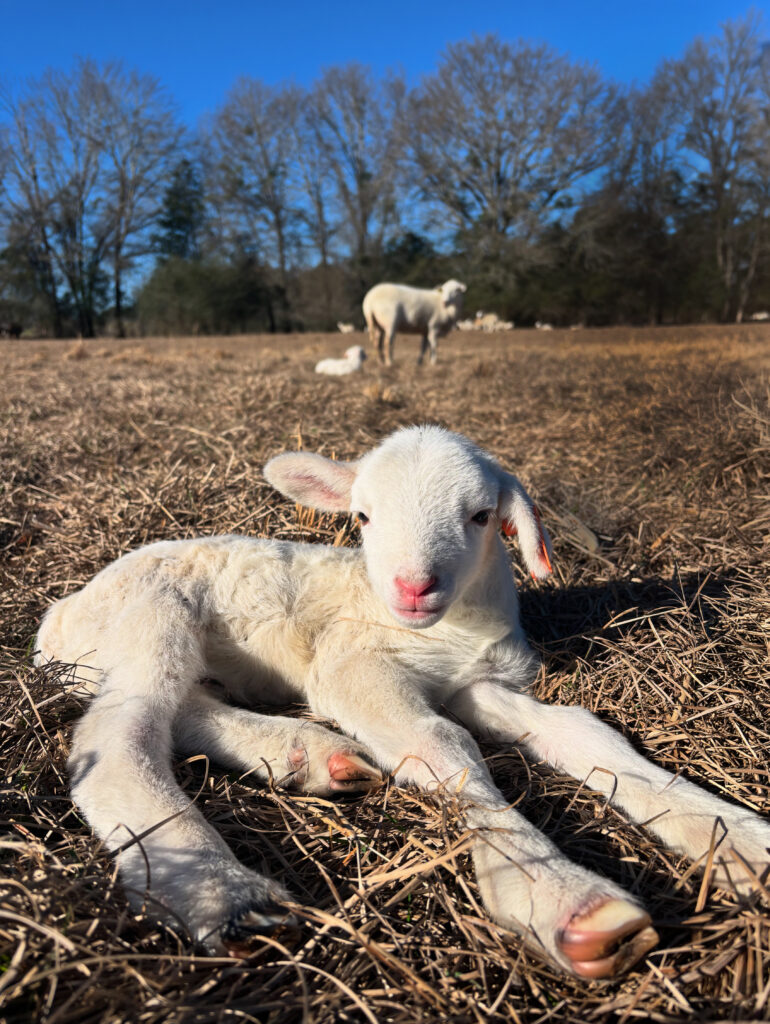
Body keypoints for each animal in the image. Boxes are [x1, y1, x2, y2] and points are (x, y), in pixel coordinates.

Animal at [36, 426, 770, 980]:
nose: (412, 586)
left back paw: (310, 756)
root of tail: (57, 618)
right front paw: (565, 899)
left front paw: (734, 838)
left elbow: (585, 735)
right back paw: (225, 896)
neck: (446, 632)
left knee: (186, 709)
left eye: (481, 515)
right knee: (117, 739)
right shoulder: (350, 666)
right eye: (362, 516)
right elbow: (443, 744)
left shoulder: (480, 682)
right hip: (150, 614)